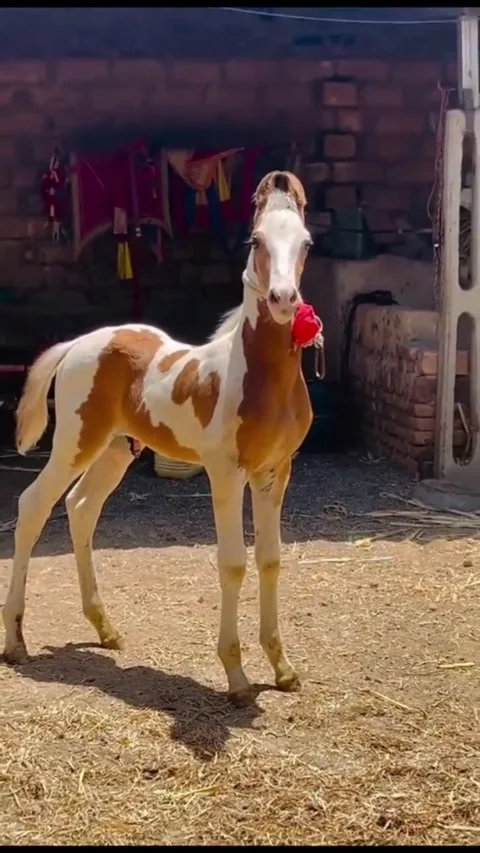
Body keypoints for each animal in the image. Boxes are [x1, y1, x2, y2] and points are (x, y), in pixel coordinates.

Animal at [2, 170, 317, 705]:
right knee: (33, 504)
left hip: (115, 449)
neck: (260, 379)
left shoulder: (276, 470)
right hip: (74, 443)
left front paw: (283, 669)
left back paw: (105, 628)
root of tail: (79, 343)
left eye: (306, 242)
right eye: (256, 241)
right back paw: (16, 641)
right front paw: (236, 678)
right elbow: (233, 563)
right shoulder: (226, 472)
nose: (282, 299)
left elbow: (270, 559)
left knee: (80, 507)